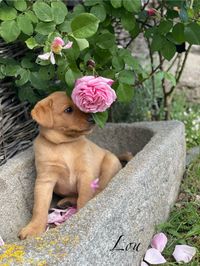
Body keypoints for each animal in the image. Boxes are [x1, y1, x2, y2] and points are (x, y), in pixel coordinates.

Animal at [18, 91, 121, 239]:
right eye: (68, 110)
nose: (92, 119)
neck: (64, 145)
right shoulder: (45, 180)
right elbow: (39, 207)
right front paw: (33, 228)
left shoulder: (86, 175)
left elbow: (84, 197)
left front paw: (83, 214)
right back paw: (66, 201)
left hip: (110, 163)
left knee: (100, 188)